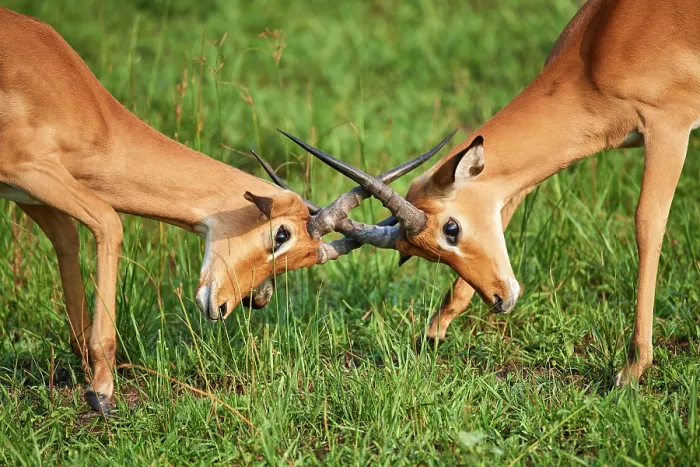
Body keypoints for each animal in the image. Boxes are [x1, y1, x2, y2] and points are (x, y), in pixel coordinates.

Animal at [0, 8, 453, 414]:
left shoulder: (32, 195)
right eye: (281, 234)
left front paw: (89, 377)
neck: (79, 101)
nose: (223, 308)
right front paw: (103, 393)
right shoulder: (27, 172)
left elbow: (70, 242)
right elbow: (110, 223)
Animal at [282, 0, 700, 385]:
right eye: (414, 253)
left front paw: (632, 368)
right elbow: (509, 202)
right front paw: (435, 330)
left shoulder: (668, 127)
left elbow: (647, 224)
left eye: (451, 229)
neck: (599, 48)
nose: (499, 301)